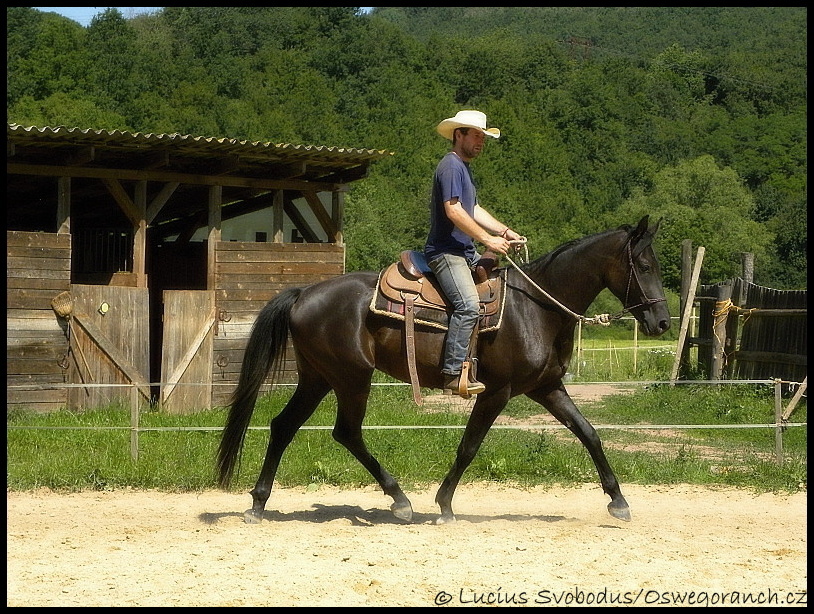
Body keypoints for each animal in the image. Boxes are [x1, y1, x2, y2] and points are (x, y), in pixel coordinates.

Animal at [217, 215, 668, 524]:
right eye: (644, 266)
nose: (662, 322)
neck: (535, 308)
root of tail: (302, 293)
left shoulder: (548, 388)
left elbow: (589, 433)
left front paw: (618, 500)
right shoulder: (496, 392)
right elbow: (469, 446)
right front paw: (445, 503)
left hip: (318, 378)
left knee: (285, 426)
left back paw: (259, 502)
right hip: (350, 378)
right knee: (344, 432)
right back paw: (400, 500)